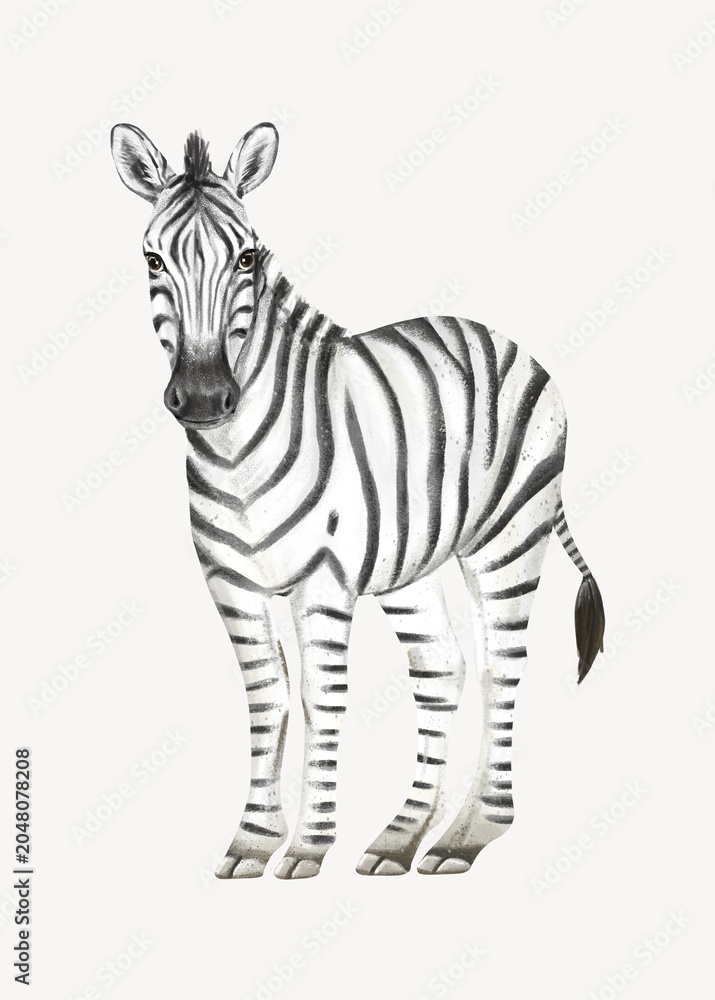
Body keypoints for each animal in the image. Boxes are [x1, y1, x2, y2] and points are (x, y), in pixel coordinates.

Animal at [110, 121, 605, 879]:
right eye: (152, 259)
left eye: (247, 256)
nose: (200, 397)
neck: (235, 456)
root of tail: (496, 335)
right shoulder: (229, 583)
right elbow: (268, 698)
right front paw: (253, 840)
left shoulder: (322, 579)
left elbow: (320, 699)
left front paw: (308, 845)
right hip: (410, 564)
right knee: (443, 670)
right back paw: (400, 839)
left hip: (509, 538)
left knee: (500, 668)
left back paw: (466, 835)